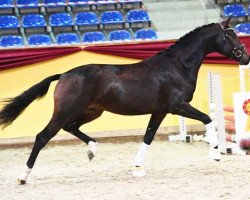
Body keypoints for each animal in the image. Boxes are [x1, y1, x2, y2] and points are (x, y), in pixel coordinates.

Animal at [0, 17, 249, 184]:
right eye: (230, 35)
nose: (245, 57)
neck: (177, 66)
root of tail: (64, 75)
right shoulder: (178, 106)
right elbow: (208, 119)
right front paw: (215, 153)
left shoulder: (160, 111)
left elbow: (148, 137)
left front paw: (137, 167)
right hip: (66, 111)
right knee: (42, 137)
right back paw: (23, 177)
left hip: (91, 111)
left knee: (72, 127)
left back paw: (92, 149)